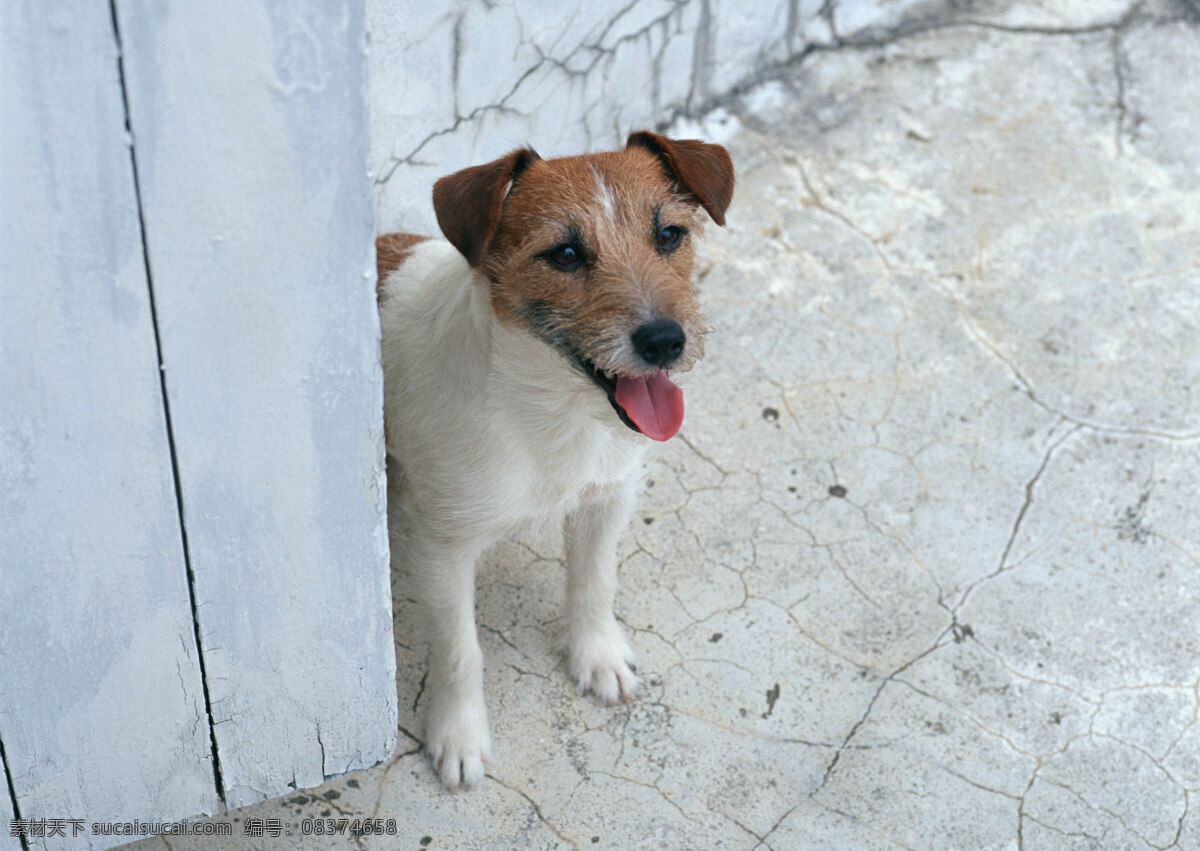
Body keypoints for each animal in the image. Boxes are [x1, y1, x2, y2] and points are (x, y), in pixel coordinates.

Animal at [376, 130, 729, 792]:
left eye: (669, 235)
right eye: (565, 254)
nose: (665, 341)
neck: (548, 410)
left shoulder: (608, 497)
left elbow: (594, 582)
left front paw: (598, 657)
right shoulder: (442, 550)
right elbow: (459, 649)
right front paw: (460, 736)